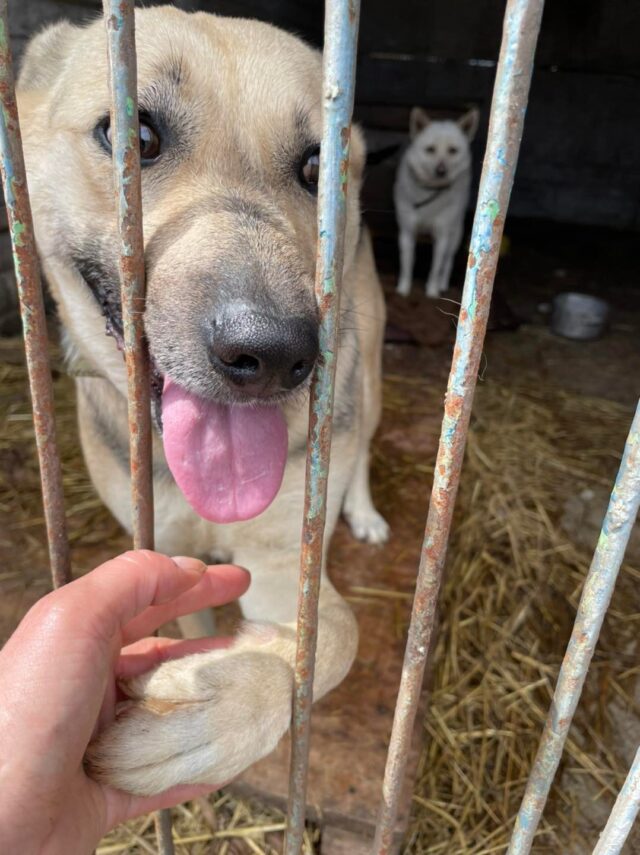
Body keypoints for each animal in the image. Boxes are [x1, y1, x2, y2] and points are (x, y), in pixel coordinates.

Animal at [17, 5, 388, 796]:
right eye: (135, 138)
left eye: (319, 168)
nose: (272, 353)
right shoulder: (167, 554)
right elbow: (187, 620)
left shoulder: (286, 565)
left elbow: (330, 642)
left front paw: (211, 707)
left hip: (366, 368)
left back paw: (365, 511)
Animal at [392, 108, 478, 300]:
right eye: (430, 150)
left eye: (453, 150)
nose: (441, 171)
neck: (430, 191)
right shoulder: (406, 232)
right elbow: (406, 264)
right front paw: (403, 289)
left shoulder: (442, 236)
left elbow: (435, 267)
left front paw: (432, 291)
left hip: (456, 233)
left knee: (447, 261)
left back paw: (443, 284)